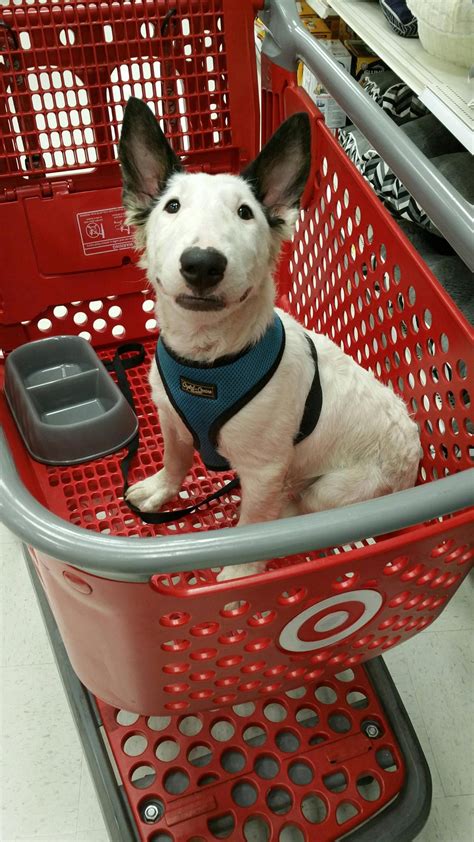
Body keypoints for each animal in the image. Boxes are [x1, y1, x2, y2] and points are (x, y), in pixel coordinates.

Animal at [118, 97, 418, 576]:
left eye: (245, 212)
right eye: (172, 206)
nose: (202, 264)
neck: (209, 360)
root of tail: (415, 451)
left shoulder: (264, 471)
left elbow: (252, 526)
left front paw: (241, 570)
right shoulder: (171, 422)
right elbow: (175, 461)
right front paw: (161, 489)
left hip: (336, 488)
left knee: (297, 512)